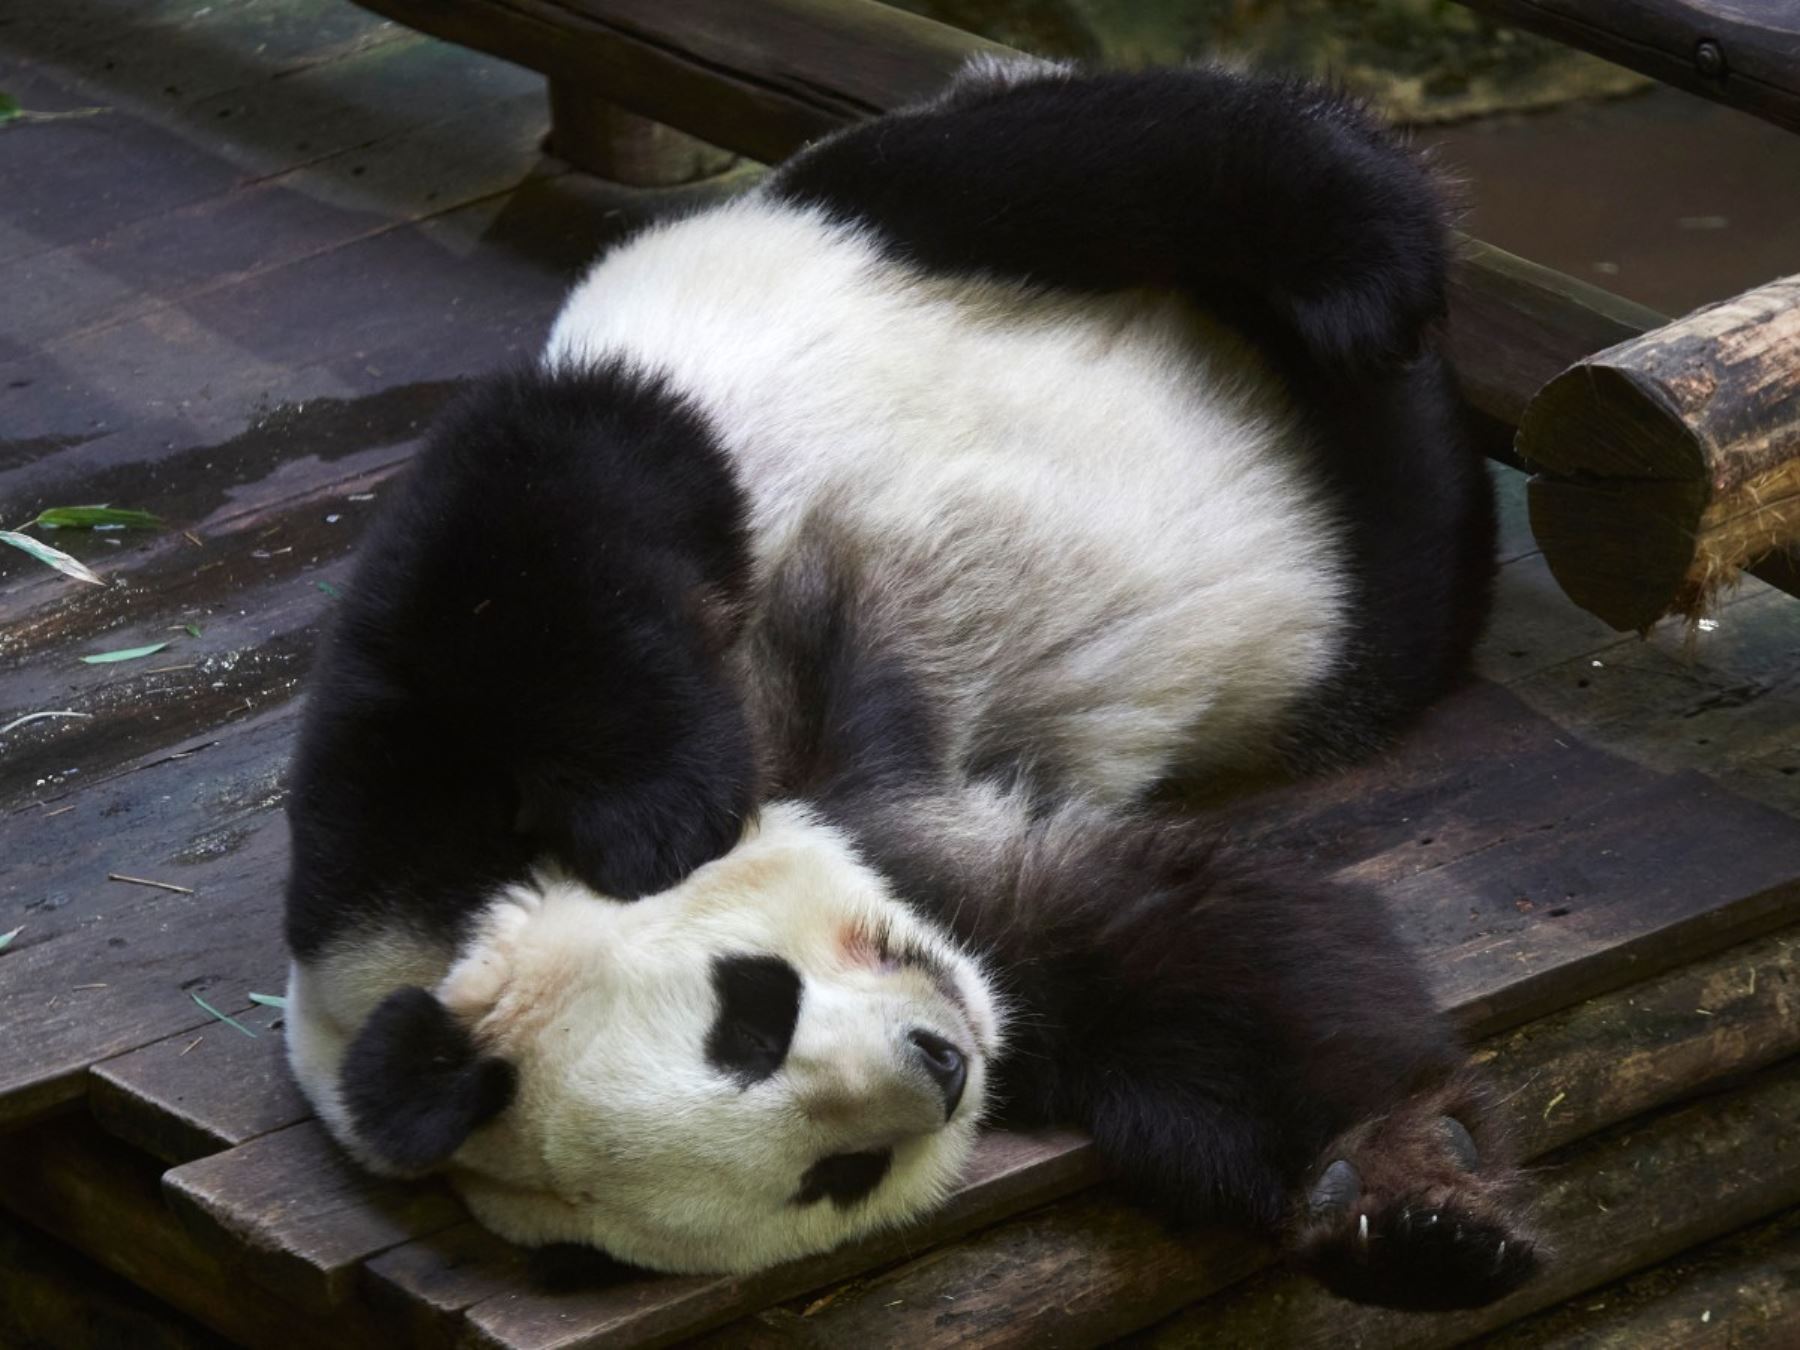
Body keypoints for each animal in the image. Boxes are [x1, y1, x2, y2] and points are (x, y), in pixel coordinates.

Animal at [282, 56, 1538, 1311]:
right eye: (835, 1175)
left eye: (750, 1016)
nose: (939, 1064)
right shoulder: (976, 923)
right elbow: (1200, 962)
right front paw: (1404, 1209)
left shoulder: (390, 814)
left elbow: (527, 556)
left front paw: (659, 817)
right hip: (1357, 606)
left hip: (855, 241)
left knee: (1102, 163)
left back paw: (1367, 280)